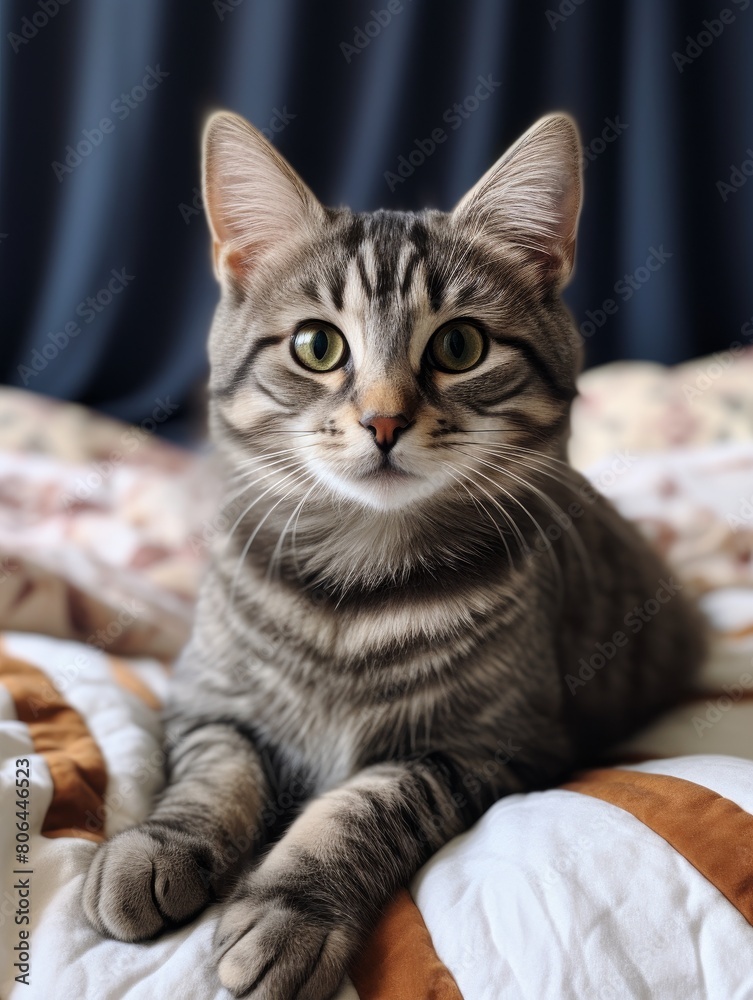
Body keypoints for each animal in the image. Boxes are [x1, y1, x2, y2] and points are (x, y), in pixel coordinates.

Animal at [83, 111, 704, 1000]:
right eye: (316, 346)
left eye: (459, 346)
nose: (382, 420)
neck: (355, 582)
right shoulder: (206, 699)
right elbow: (213, 773)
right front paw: (158, 846)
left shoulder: (494, 745)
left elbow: (365, 804)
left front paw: (293, 907)